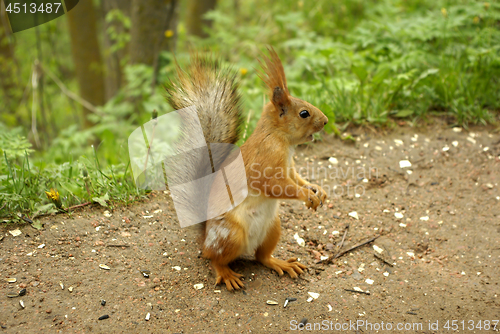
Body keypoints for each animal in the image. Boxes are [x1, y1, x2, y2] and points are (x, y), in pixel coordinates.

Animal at [164, 47, 328, 290]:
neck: (279, 138)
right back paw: (226, 273)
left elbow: (297, 178)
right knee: (214, 258)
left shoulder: (289, 167)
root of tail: (205, 239)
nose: (325, 121)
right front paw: (306, 195)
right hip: (231, 235)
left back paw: (280, 263)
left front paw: (316, 188)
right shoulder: (266, 162)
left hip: (273, 227)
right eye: (304, 113)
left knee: (262, 256)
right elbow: (276, 186)